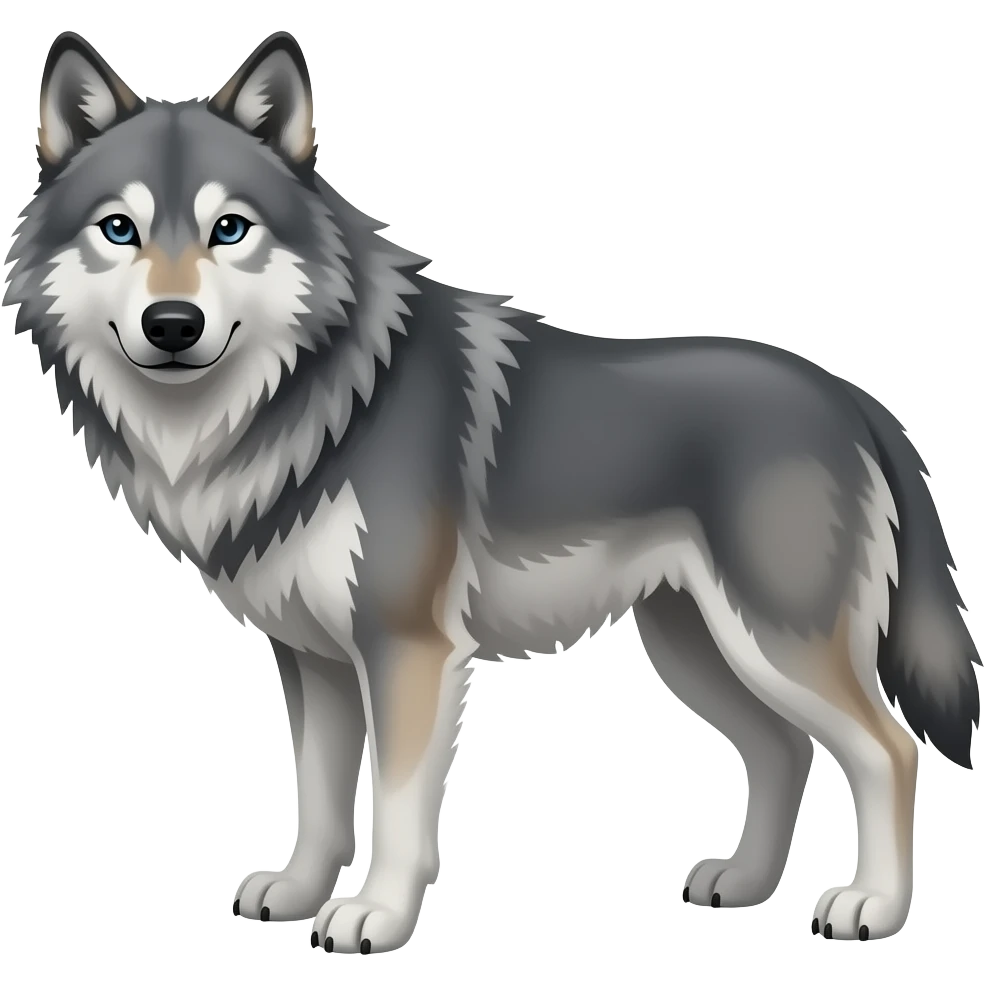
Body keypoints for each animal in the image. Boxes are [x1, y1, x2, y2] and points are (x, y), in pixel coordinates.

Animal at [4, 28, 981, 954]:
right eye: (119, 230)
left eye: (231, 229)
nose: (173, 324)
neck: (316, 401)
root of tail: (856, 402)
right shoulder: (314, 659)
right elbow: (318, 796)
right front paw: (299, 891)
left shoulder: (407, 650)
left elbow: (396, 808)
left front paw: (375, 917)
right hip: (695, 646)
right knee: (784, 749)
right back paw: (741, 883)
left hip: (772, 644)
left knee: (888, 750)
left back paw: (870, 905)